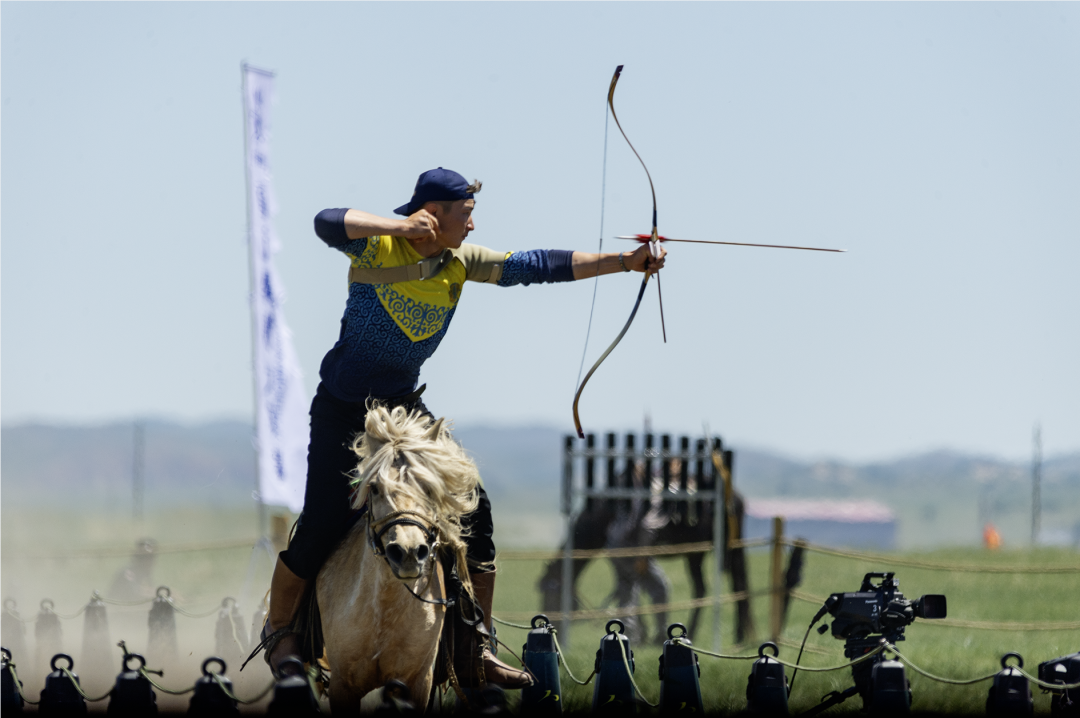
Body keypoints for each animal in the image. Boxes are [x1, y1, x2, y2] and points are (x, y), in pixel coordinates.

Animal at [313, 403, 481, 712]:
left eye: (429, 488)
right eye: (375, 488)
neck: (384, 610)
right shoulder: (342, 686)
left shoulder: (417, 684)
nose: (408, 553)